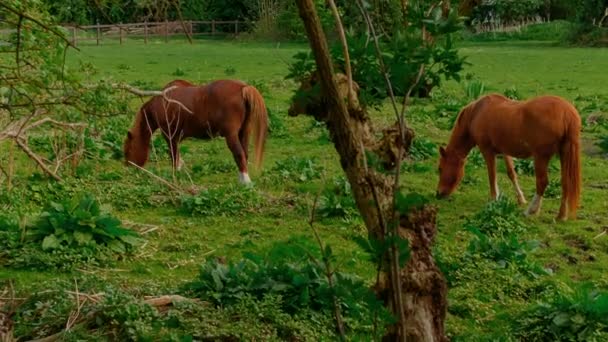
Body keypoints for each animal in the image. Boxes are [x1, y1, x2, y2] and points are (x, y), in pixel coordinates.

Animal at [122, 79, 268, 184]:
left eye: (128, 150)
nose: (128, 168)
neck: (162, 102)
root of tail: (243, 88)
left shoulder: (169, 136)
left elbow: (174, 156)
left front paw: (175, 174)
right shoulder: (176, 138)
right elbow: (178, 155)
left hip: (231, 135)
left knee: (239, 154)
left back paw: (245, 182)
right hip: (244, 132)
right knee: (244, 154)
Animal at [436, 93, 580, 222]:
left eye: (440, 169)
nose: (438, 194)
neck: (476, 113)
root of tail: (567, 113)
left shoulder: (487, 151)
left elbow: (492, 175)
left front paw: (494, 200)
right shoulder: (504, 151)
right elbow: (511, 173)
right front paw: (520, 198)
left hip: (541, 157)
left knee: (542, 182)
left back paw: (530, 211)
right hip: (563, 154)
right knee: (565, 182)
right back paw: (561, 215)